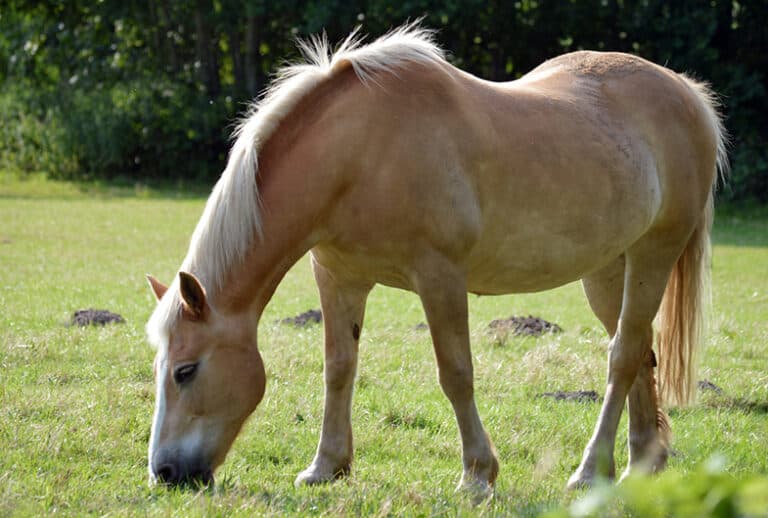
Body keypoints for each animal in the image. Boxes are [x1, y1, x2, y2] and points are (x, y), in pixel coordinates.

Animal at [144, 24, 727, 493]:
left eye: (185, 371)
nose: (165, 474)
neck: (359, 152)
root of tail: (685, 92)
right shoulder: (338, 276)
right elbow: (339, 367)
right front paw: (326, 466)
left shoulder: (439, 277)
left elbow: (456, 373)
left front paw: (477, 475)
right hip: (609, 269)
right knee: (639, 351)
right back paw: (641, 464)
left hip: (654, 253)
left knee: (623, 356)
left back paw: (589, 471)